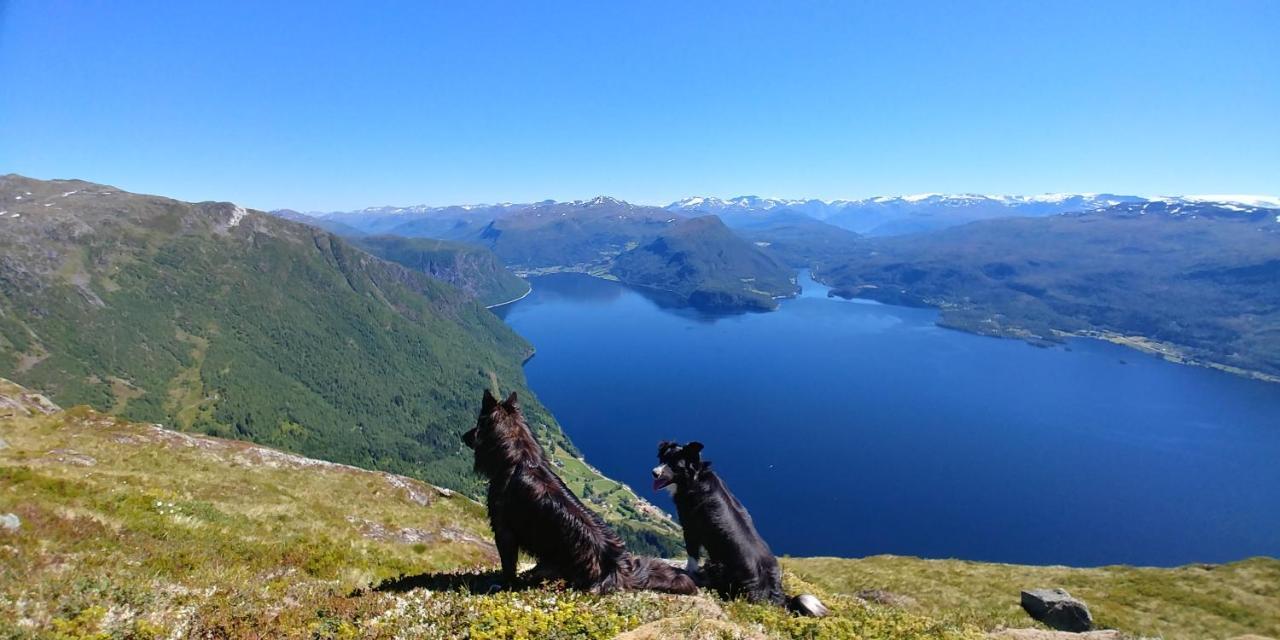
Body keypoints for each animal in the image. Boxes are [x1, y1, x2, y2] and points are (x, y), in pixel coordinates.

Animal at [465, 389, 696, 593]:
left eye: (478, 423)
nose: (463, 436)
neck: (519, 458)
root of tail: (618, 569)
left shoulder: (504, 530)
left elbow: (508, 566)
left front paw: (503, 584)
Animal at [650, 440, 829, 614]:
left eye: (674, 465)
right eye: (662, 459)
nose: (654, 472)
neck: (696, 478)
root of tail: (774, 594)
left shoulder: (691, 527)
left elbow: (691, 555)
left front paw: (687, 571)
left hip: (718, 564)